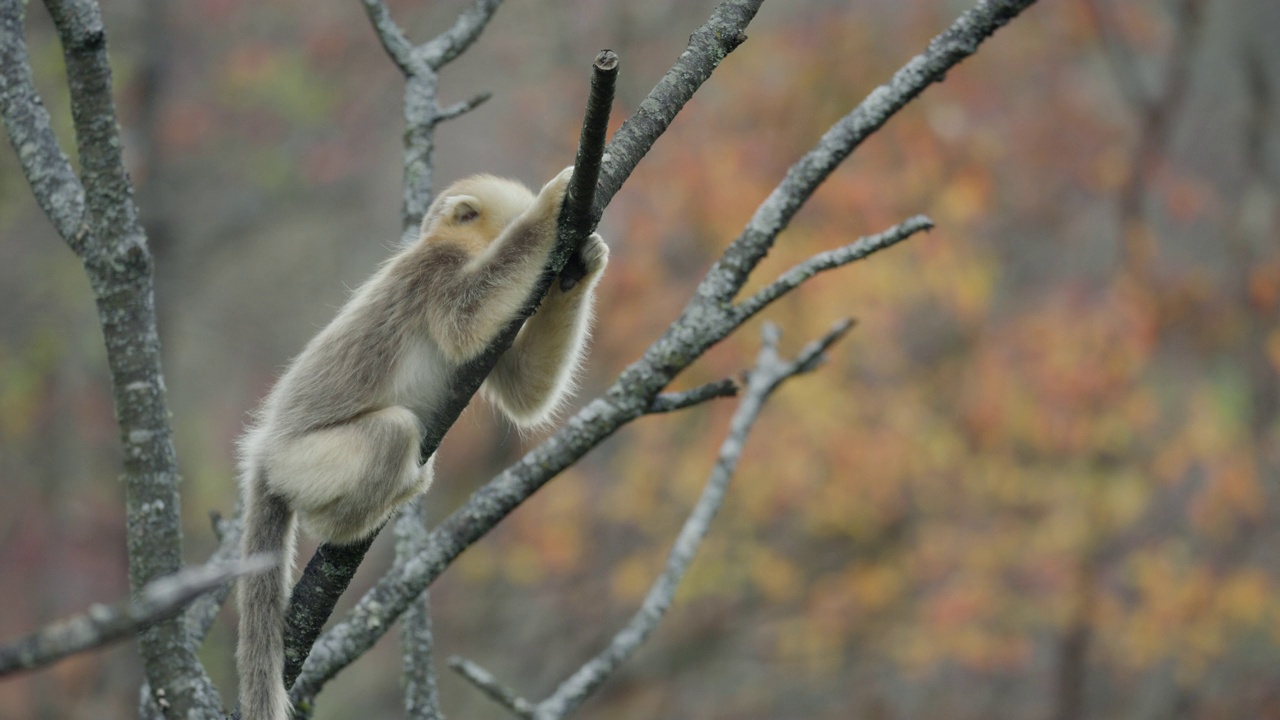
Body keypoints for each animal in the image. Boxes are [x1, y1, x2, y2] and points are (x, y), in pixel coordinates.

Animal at [236, 165, 609, 717]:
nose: (572, 251)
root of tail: (264, 454)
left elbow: (524, 392)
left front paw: (584, 261)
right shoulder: (436, 266)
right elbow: (463, 321)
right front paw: (549, 205)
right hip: (303, 462)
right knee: (395, 432)